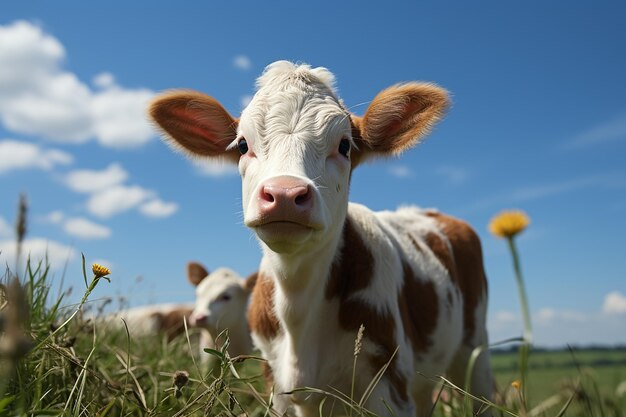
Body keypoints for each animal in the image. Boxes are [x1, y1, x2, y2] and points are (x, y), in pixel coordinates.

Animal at [151, 61, 492, 416]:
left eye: (344, 145)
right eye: (243, 145)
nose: (284, 194)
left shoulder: (390, 380)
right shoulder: (275, 382)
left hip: (474, 350)